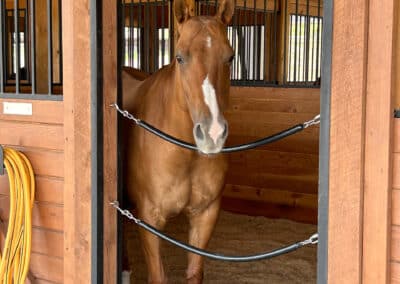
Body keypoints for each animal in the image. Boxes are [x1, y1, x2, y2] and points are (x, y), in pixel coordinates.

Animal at [122, 0, 234, 282]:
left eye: (230, 57)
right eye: (180, 57)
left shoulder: (205, 215)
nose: (212, 133)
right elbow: (158, 276)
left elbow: (194, 273)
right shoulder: (149, 219)